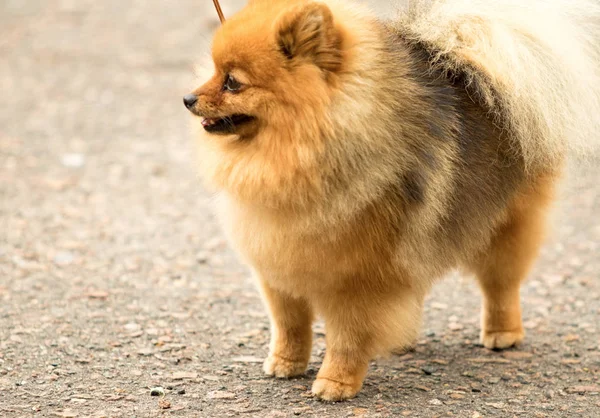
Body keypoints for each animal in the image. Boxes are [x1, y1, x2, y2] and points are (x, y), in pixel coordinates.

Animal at [184, 0, 600, 400]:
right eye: (214, 70)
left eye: (233, 82)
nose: (188, 98)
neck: (297, 151)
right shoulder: (279, 267)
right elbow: (290, 325)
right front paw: (286, 363)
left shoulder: (357, 279)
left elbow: (347, 337)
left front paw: (336, 382)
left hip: (505, 226)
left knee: (501, 283)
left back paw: (503, 333)